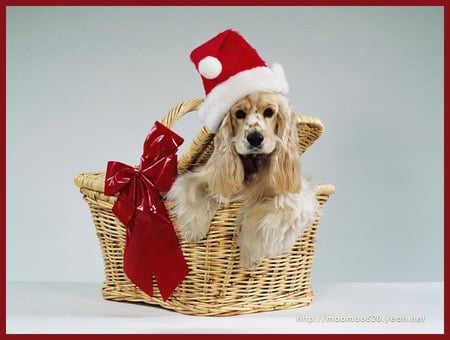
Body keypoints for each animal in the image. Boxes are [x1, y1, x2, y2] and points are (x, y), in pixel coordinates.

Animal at [166, 91, 320, 270]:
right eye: (239, 113)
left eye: (269, 112)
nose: (255, 138)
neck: (253, 163)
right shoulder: (201, 176)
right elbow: (194, 189)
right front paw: (193, 230)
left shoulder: (295, 198)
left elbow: (259, 213)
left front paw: (250, 255)